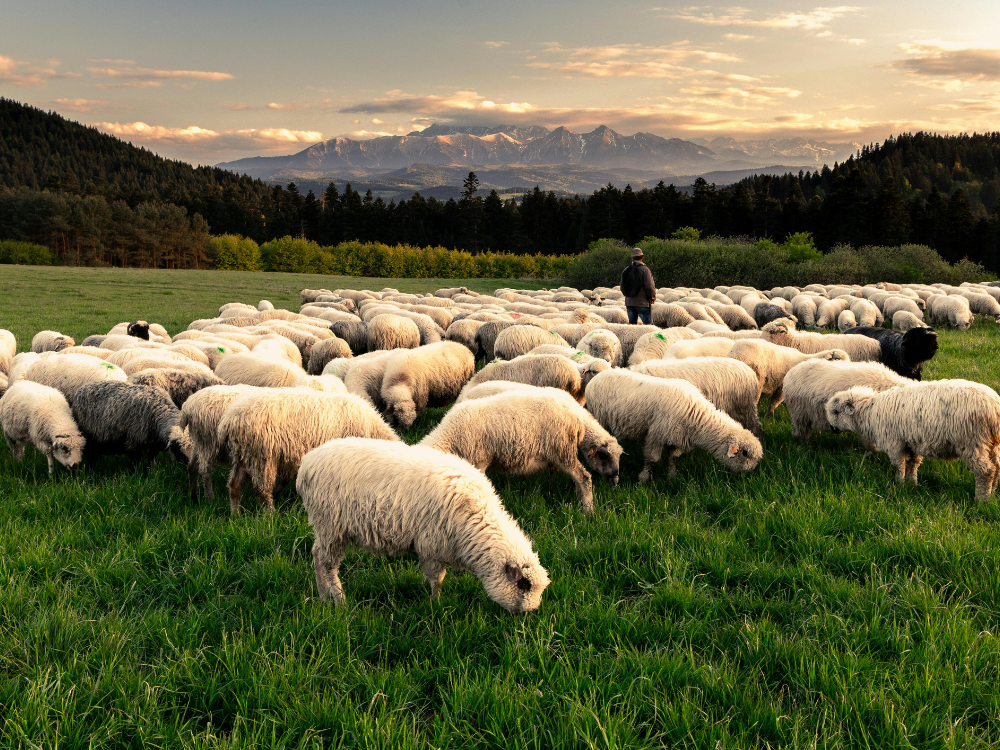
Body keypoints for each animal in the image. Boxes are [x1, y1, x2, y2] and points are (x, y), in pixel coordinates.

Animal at [221, 391, 399, 514]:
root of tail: (230, 419)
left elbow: (288, 477)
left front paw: (280, 491)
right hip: (262, 456)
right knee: (261, 489)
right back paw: (270, 514)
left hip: (244, 455)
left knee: (234, 485)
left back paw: (236, 515)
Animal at [297, 437, 550, 611]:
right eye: (523, 585)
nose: (530, 612)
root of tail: (306, 464)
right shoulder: (431, 546)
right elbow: (437, 580)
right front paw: (436, 605)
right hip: (332, 525)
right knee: (328, 564)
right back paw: (339, 600)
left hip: (325, 527)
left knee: (316, 555)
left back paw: (323, 596)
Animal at [420, 389, 622, 514]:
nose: (615, 480)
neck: (451, 435)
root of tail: (577, 414)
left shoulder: (479, 459)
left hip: (561, 450)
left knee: (584, 477)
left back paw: (587, 510)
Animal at [585, 369, 762, 483]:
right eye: (745, 453)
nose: (747, 476)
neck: (696, 416)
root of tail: (597, 377)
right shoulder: (656, 435)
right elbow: (652, 459)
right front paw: (643, 480)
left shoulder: (676, 438)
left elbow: (673, 459)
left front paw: (672, 477)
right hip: (599, 417)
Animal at [826, 380, 1000, 499]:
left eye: (835, 411)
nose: (832, 428)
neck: (870, 411)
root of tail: (994, 406)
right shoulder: (911, 442)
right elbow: (912, 464)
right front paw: (912, 484)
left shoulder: (894, 443)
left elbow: (899, 465)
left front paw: (899, 484)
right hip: (992, 444)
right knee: (997, 467)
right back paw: (992, 493)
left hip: (972, 442)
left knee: (985, 471)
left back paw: (981, 500)